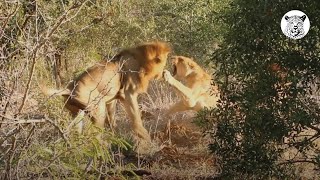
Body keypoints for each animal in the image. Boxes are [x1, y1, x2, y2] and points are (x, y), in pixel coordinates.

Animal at [41, 41, 171, 146]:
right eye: (163, 63)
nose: (164, 73)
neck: (141, 60)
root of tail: (69, 89)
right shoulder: (128, 94)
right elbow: (136, 120)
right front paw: (147, 139)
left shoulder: (111, 100)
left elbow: (112, 121)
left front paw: (116, 137)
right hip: (98, 109)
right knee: (95, 135)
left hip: (77, 113)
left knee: (77, 134)